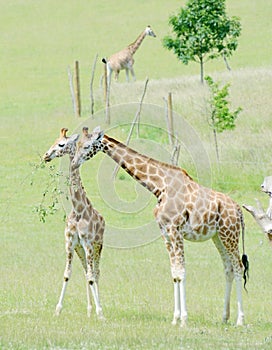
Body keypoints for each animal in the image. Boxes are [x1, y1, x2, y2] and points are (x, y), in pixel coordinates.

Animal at [43, 127, 104, 318]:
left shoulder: (88, 243)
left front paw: (101, 313)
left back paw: (98, 310)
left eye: (61, 144)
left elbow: (92, 276)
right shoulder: (70, 243)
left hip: (97, 247)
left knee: (95, 273)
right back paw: (89, 310)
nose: (46, 155)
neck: (77, 210)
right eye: (54, 141)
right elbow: (67, 274)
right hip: (80, 250)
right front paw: (57, 310)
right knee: (86, 272)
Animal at [71, 126, 249, 328]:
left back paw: (240, 319)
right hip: (218, 237)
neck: (159, 187)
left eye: (87, 146)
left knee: (238, 267)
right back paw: (225, 317)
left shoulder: (175, 229)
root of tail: (239, 211)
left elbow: (181, 271)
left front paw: (184, 319)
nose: (74, 163)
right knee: (228, 268)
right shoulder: (165, 232)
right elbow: (174, 273)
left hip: (230, 234)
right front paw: (175, 318)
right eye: (77, 144)